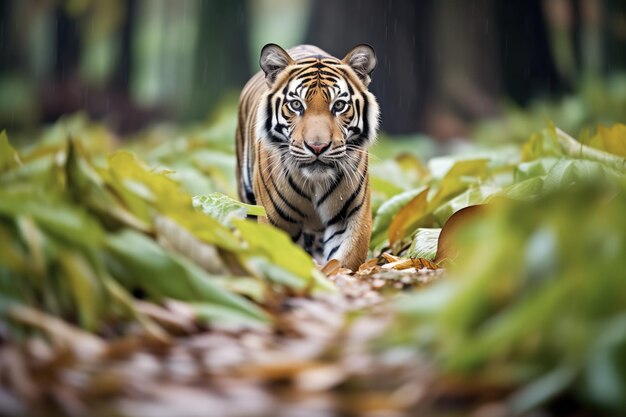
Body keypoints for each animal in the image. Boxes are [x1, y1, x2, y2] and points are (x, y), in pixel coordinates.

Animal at [235, 43, 378, 270]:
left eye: (339, 106)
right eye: (296, 105)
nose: (317, 147)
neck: (315, 183)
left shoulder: (350, 217)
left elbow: (344, 261)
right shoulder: (275, 220)